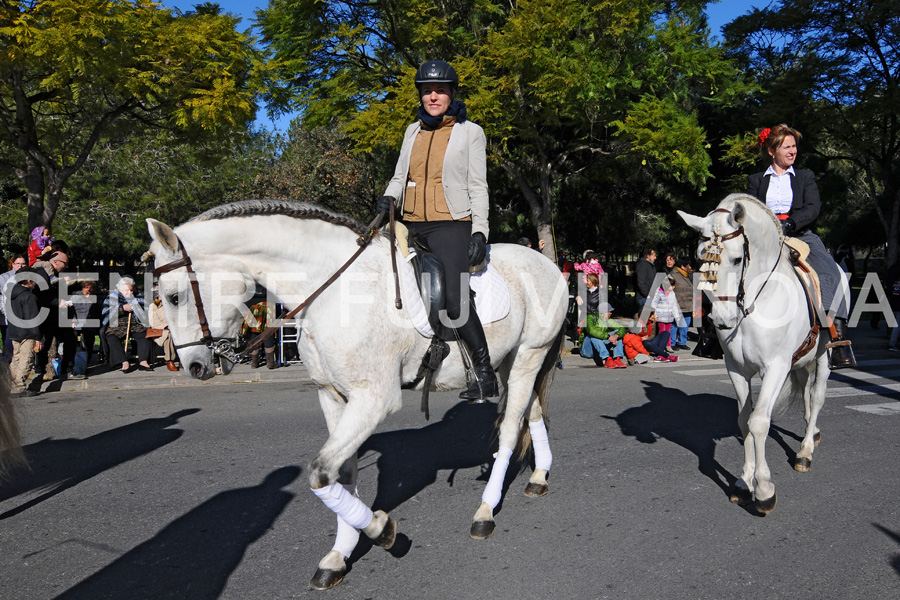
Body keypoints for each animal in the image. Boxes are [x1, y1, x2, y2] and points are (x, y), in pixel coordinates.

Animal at [148, 199, 568, 588]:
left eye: (173, 296)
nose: (194, 367)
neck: (334, 290)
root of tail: (547, 263)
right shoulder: (333, 396)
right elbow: (341, 471)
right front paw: (340, 554)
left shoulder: (374, 399)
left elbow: (319, 474)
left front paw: (381, 531)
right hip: (511, 361)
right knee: (531, 413)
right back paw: (538, 477)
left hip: (530, 354)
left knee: (510, 429)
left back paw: (485, 512)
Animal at [680, 195, 832, 512]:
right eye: (700, 257)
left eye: (738, 259)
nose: (722, 319)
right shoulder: (736, 369)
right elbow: (743, 420)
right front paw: (743, 482)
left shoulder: (775, 368)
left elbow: (759, 421)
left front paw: (763, 490)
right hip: (802, 361)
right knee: (807, 396)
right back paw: (810, 436)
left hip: (824, 356)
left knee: (817, 397)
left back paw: (805, 451)